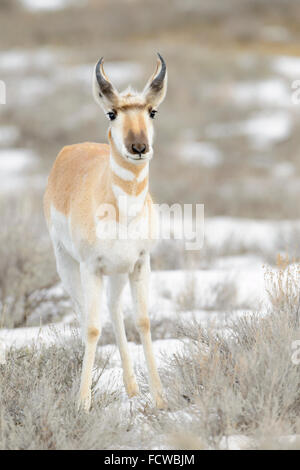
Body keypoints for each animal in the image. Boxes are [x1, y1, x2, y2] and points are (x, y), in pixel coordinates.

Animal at [43, 53, 168, 410]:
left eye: (152, 111)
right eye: (112, 113)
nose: (138, 147)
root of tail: (71, 150)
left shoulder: (140, 263)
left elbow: (142, 321)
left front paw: (160, 398)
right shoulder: (91, 268)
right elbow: (92, 329)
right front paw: (83, 403)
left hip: (117, 274)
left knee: (114, 311)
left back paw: (132, 387)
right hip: (69, 267)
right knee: (86, 314)